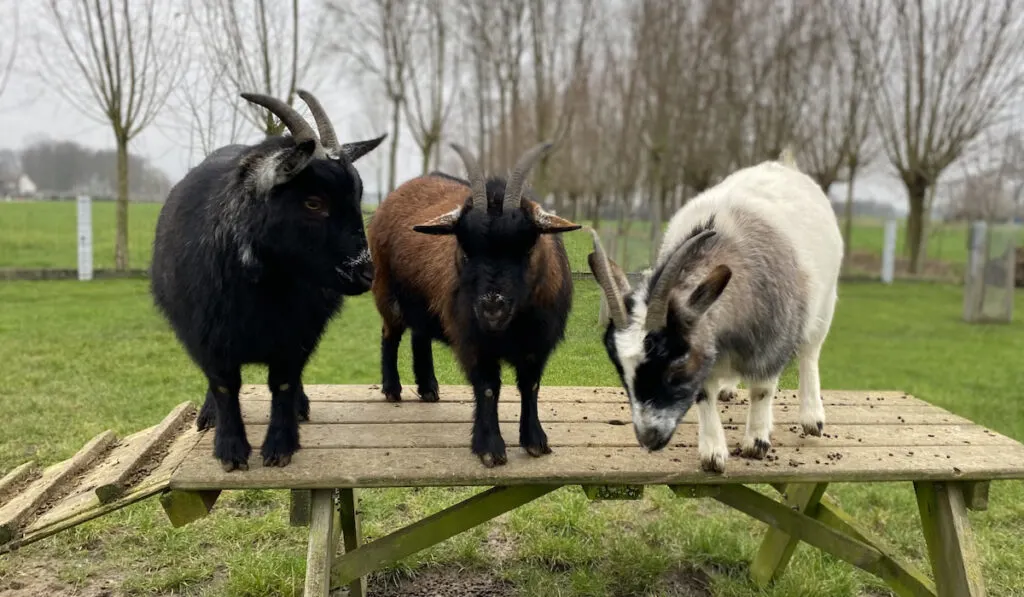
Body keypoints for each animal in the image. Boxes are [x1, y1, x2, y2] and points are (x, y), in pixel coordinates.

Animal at [152, 90, 387, 471]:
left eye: (357, 197)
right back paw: (208, 415)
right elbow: (223, 385)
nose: (365, 273)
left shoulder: (297, 334)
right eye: (313, 202)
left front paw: (280, 446)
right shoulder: (205, 336)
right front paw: (230, 450)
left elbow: (284, 383)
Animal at [589, 156, 843, 475]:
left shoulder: (772, 343)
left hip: (824, 304)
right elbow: (704, 395)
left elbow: (762, 390)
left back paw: (812, 417)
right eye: (621, 370)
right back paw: (729, 389)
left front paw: (756, 442)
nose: (648, 438)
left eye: (677, 364)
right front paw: (713, 453)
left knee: (810, 352)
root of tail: (782, 164)